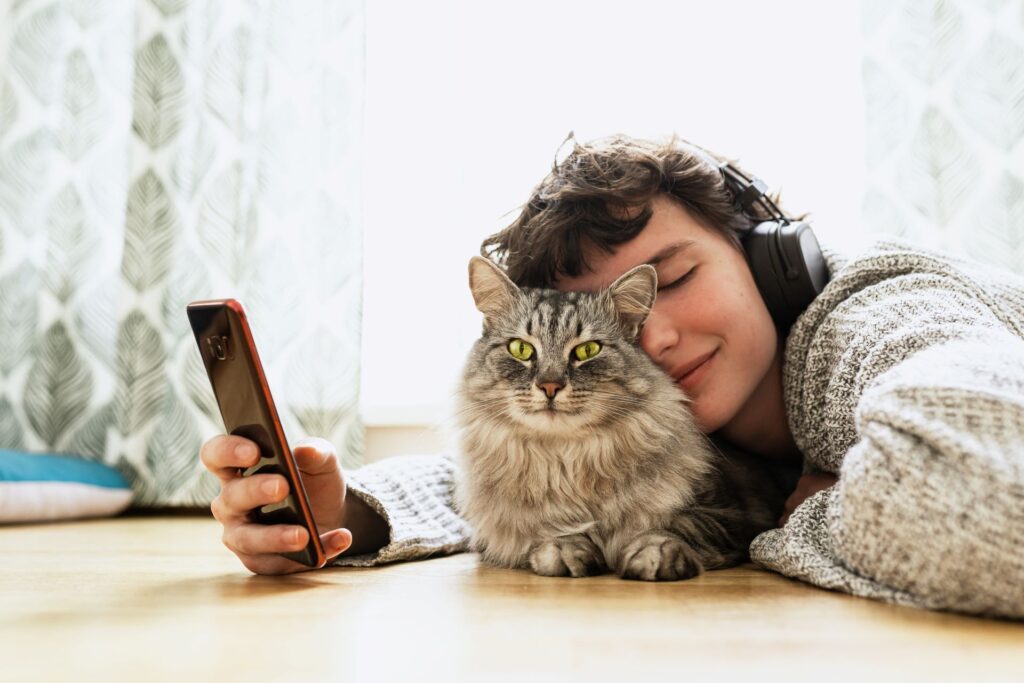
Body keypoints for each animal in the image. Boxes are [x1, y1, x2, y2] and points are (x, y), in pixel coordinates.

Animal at [450, 253, 798, 581]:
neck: (566, 463)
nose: (550, 386)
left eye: (587, 350)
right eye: (521, 349)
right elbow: (550, 530)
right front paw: (566, 548)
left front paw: (654, 552)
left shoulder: (727, 514)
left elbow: (675, 526)